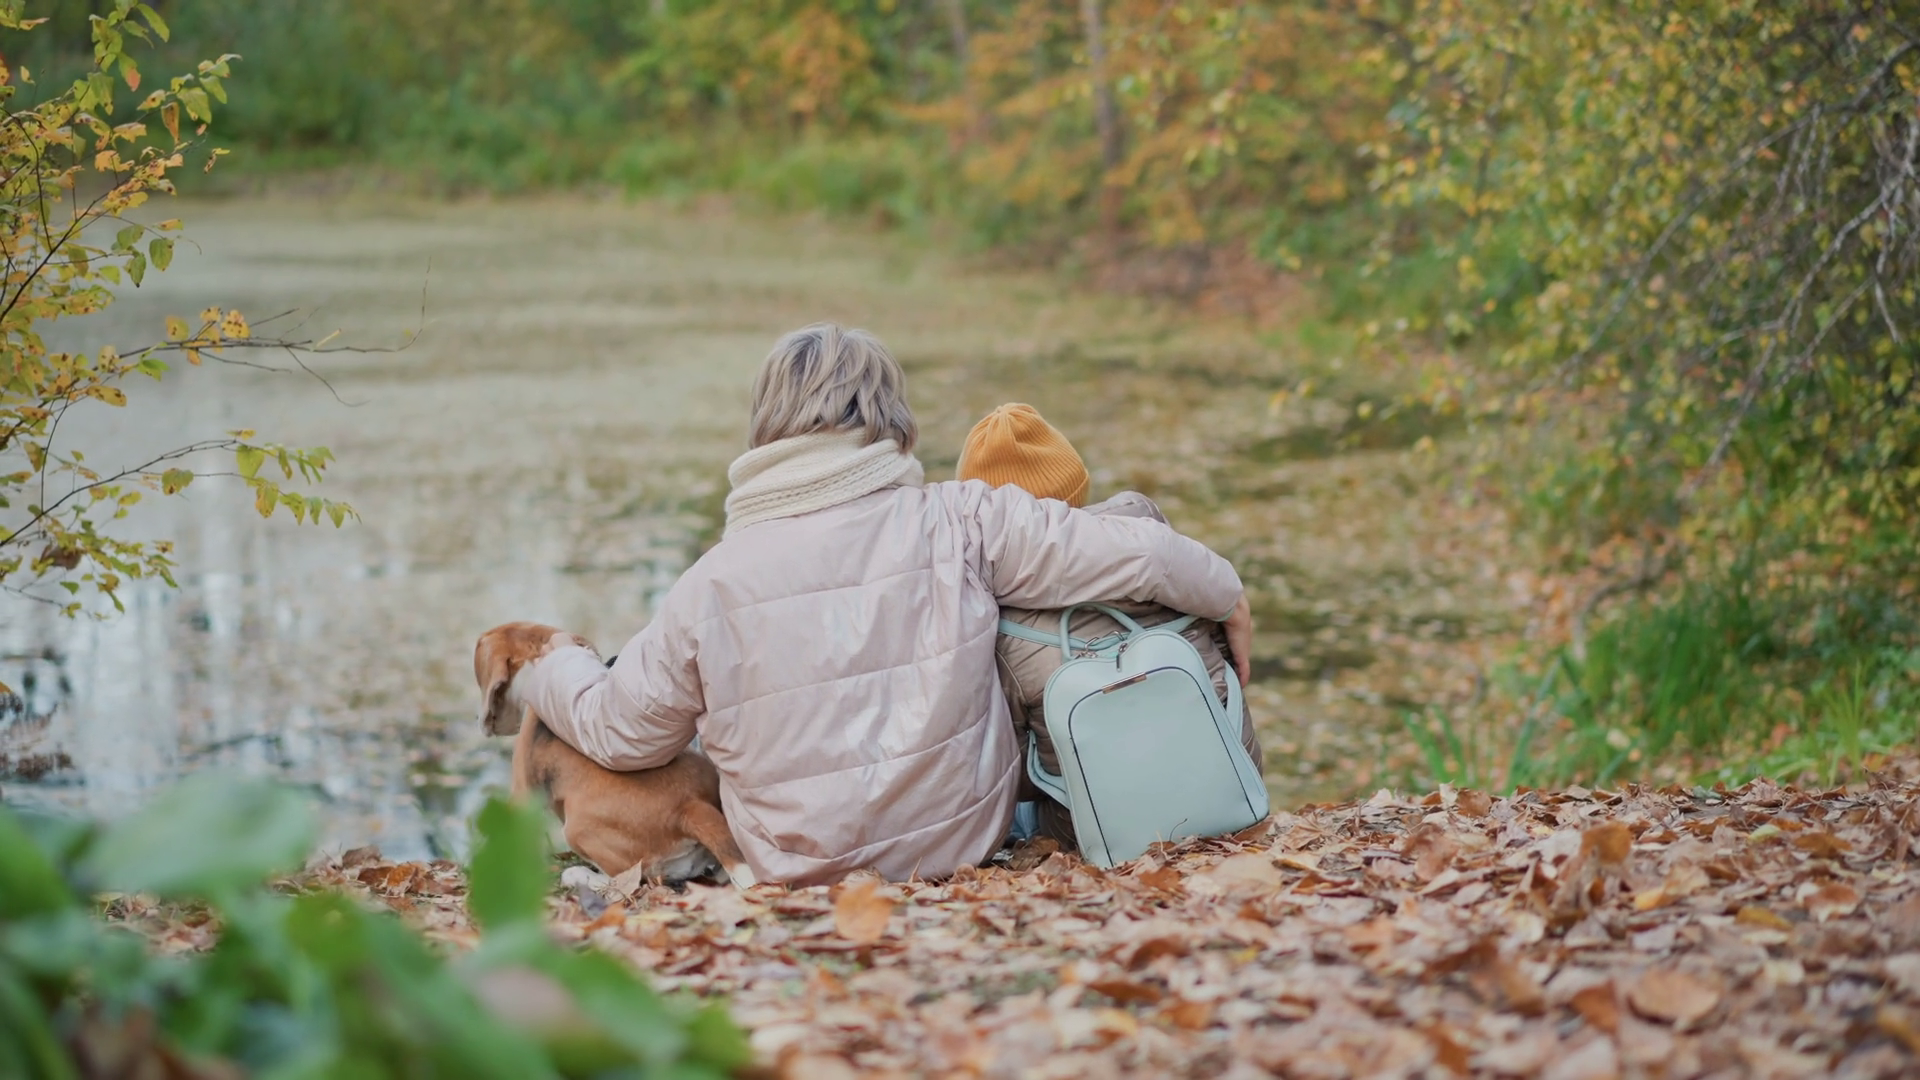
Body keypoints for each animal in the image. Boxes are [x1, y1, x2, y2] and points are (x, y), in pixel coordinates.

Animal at [473, 621, 756, 888]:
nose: (479, 720)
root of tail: (691, 807)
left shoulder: (522, 792)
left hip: (577, 829)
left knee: (626, 881)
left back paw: (580, 876)